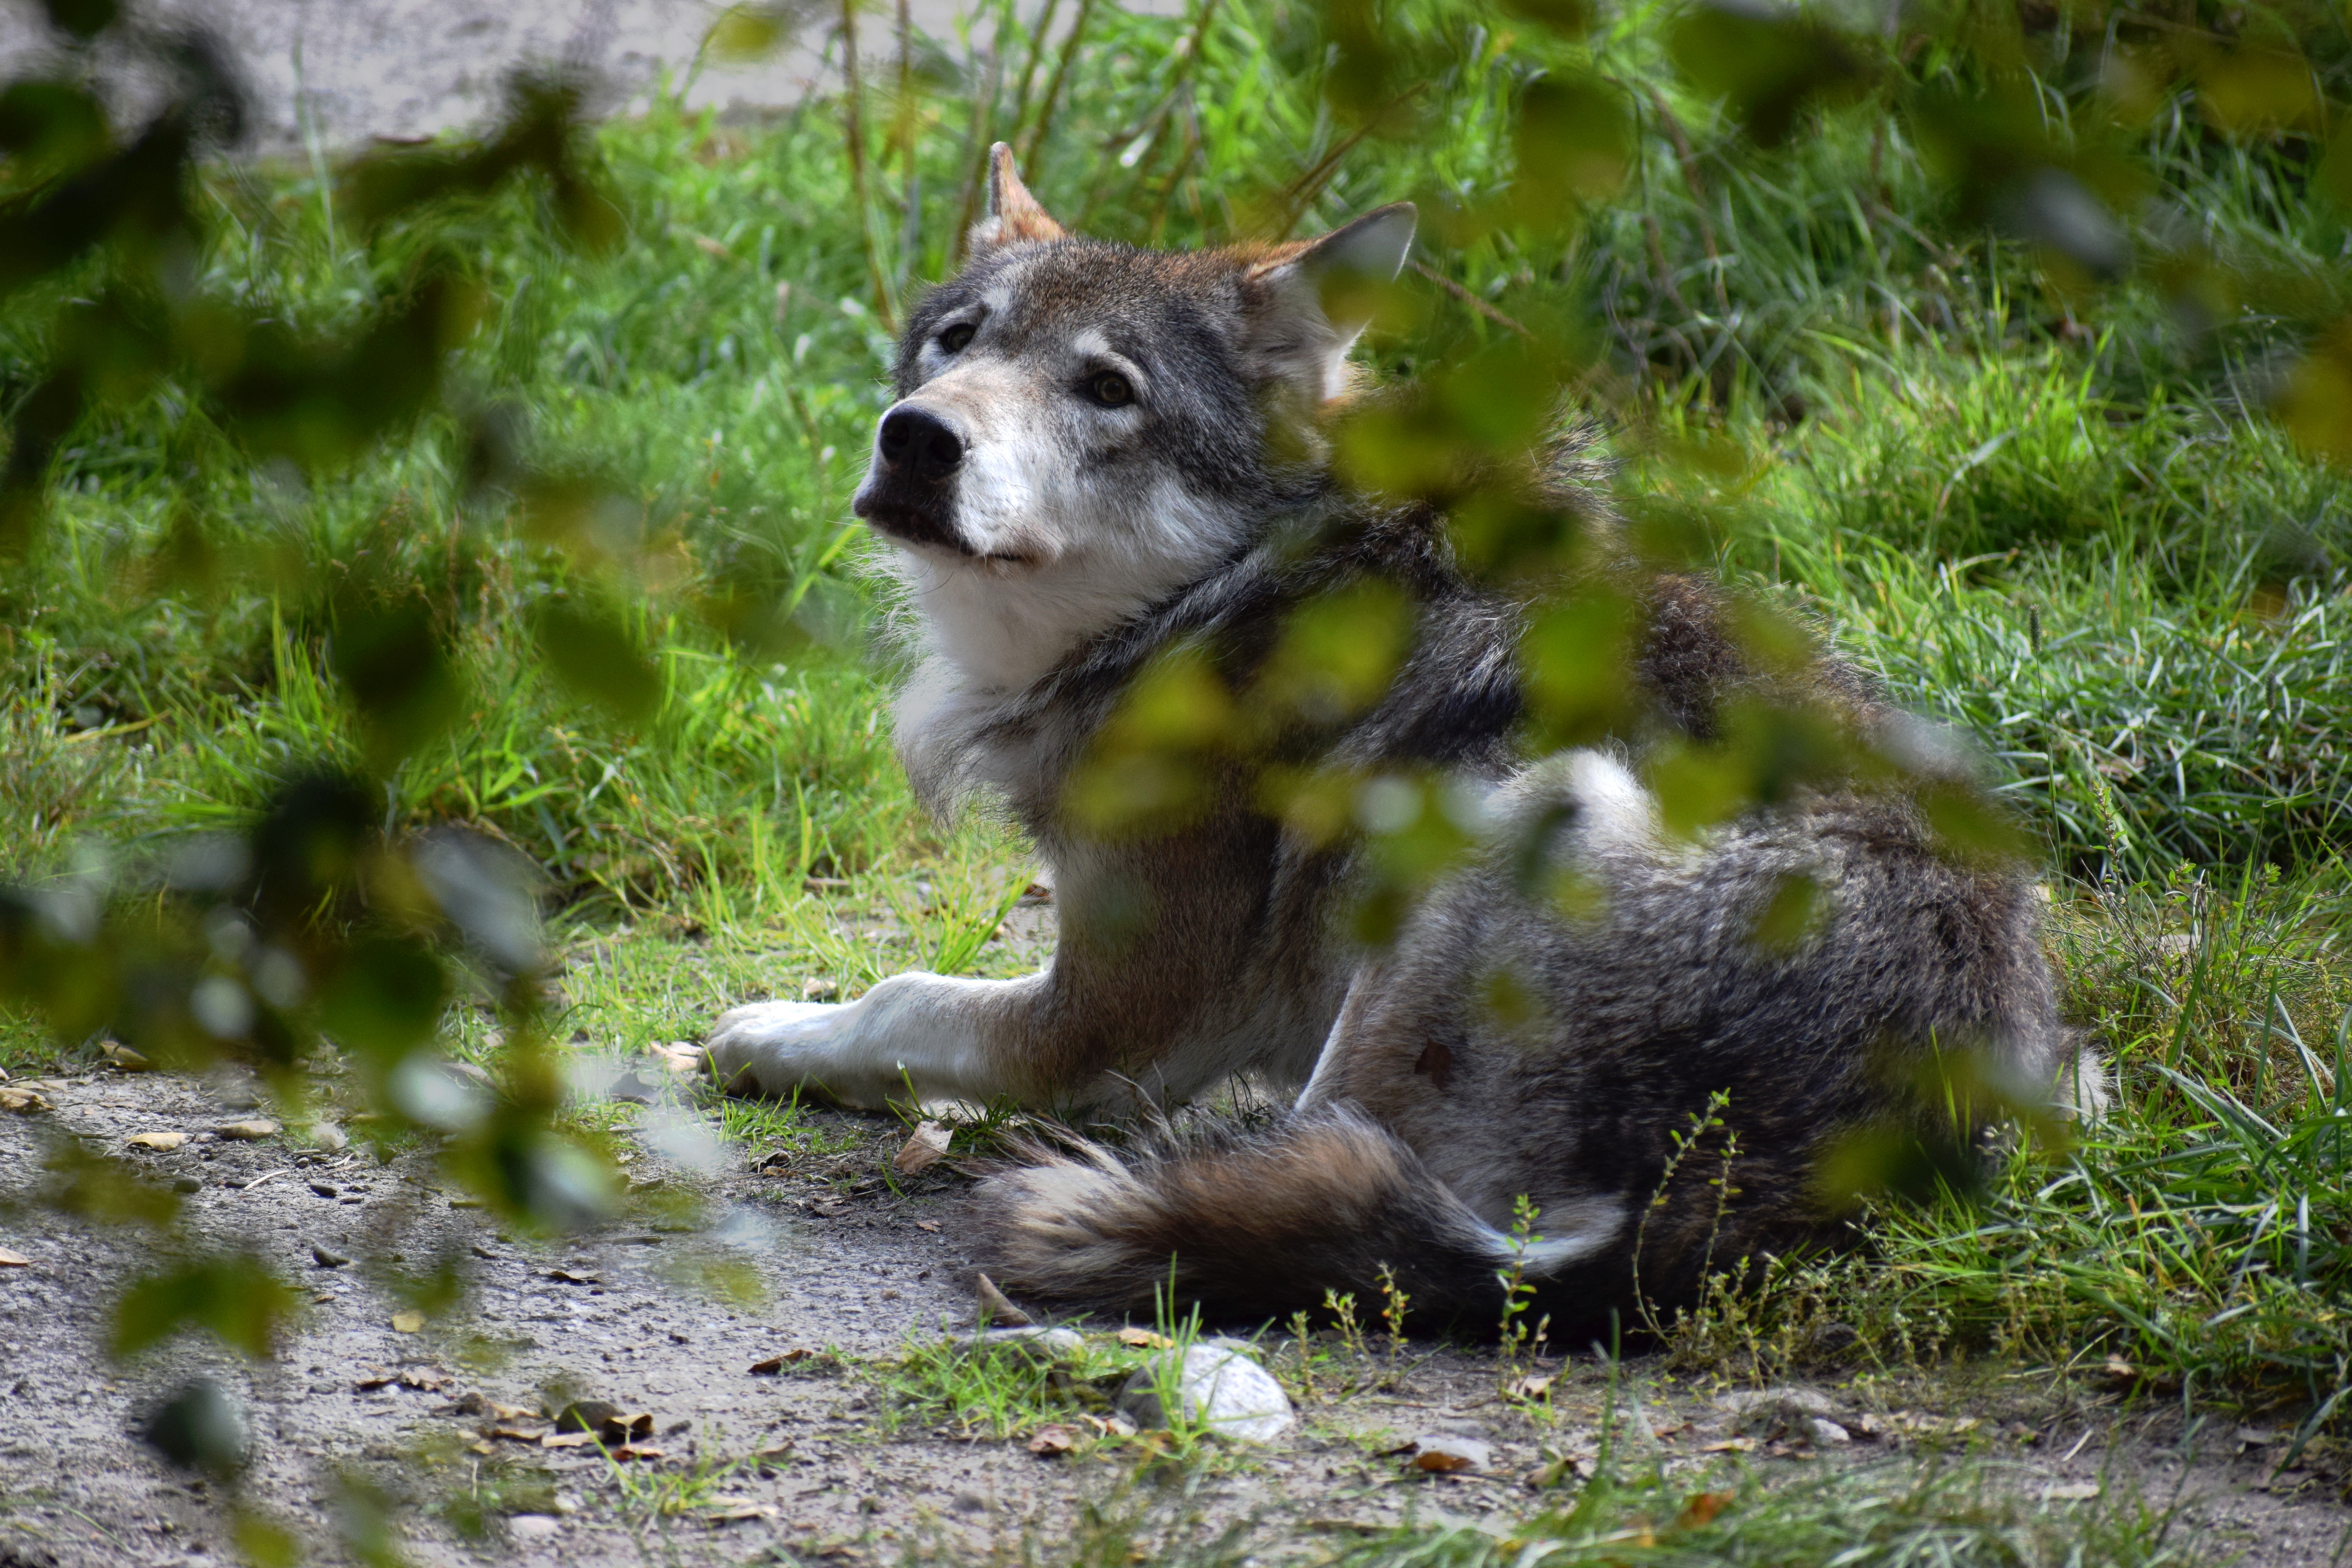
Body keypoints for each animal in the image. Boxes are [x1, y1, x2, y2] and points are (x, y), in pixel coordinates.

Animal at [706, 144, 2107, 1326]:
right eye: (957, 341)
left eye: (1107, 389)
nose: (917, 438)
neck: (1221, 588)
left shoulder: (1111, 1020)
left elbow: (902, 998)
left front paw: (765, 1035)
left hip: (1508, 819)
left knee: (1310, 1161)